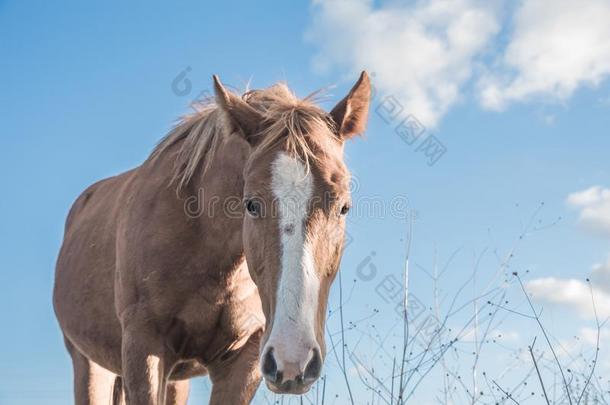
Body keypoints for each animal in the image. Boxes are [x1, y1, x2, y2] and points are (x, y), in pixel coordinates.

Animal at [53, 71, 370, 402]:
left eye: (344, 207)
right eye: (251, 204)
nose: (293, 359)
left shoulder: (244, 359)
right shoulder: (143, 345)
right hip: (89, 363)